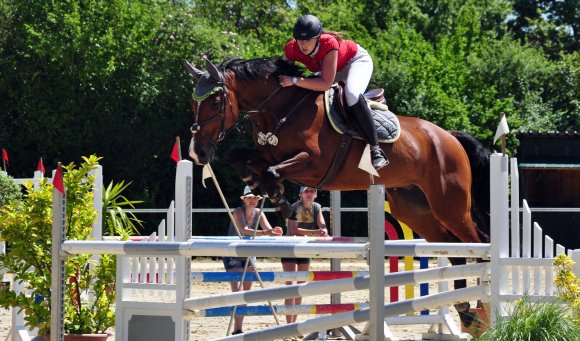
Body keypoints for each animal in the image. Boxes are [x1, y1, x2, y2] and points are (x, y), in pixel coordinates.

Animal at [185, 57, 490, 322]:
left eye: (215, 100)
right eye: (193, 102)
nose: (197, 152)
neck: (283, 110)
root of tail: (449, 136)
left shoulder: (314, 163)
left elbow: (273, 171)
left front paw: (278, 196)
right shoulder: (269, 154)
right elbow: (241, 157)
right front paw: (266, 189)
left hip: (449, 205)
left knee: (475, 243)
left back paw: (481, 305)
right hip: (415, 211)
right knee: (454, 248)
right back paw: (464, 308)